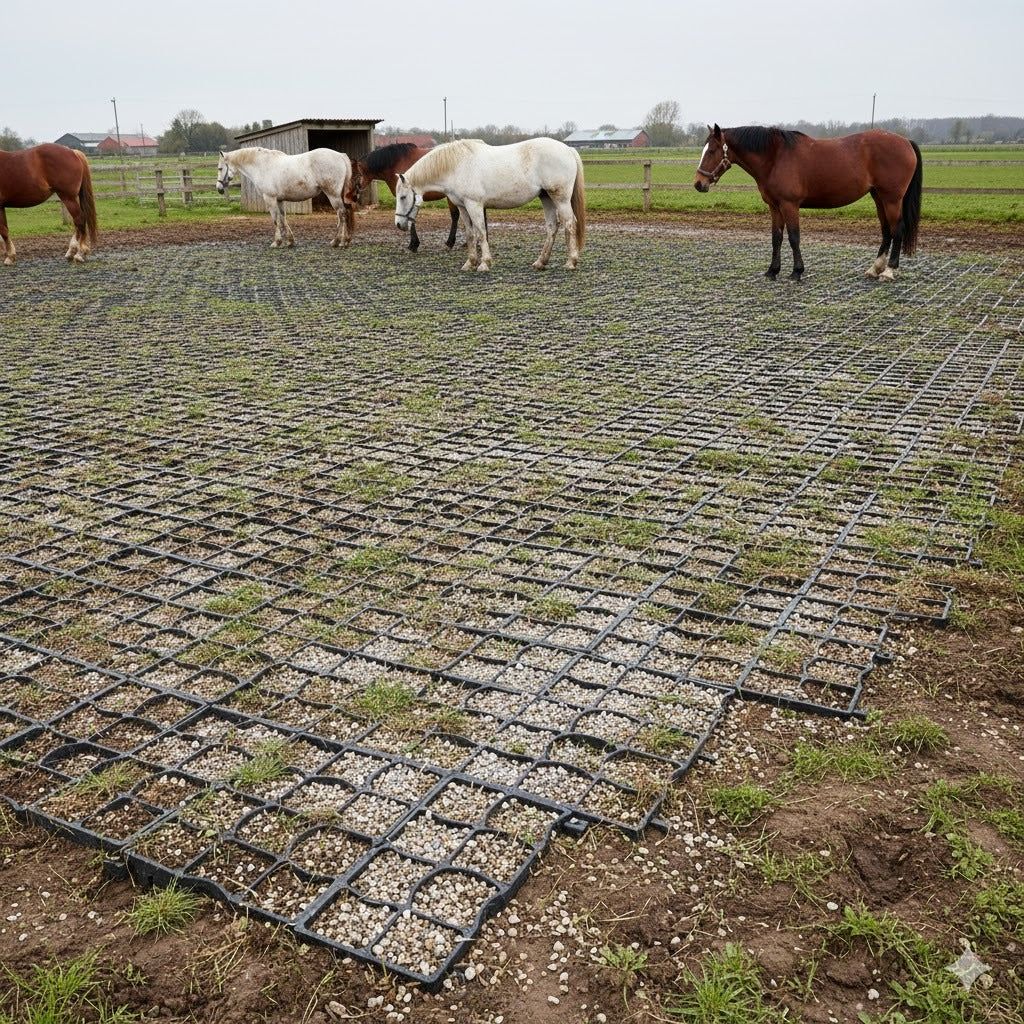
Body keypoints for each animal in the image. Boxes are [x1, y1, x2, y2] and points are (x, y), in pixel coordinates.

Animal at [216, 147, 355, 249]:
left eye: (220, 168)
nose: (219, 188)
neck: (261, 165)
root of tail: (340, 156)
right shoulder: (279, 200)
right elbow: (283, 218)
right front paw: (289, 241)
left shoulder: (270, 198)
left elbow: (275, 220)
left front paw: (277, 242)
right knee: (346, 213)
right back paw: (346, 240)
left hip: (333, 195)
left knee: (341, 214)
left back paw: (337, 241)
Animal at [394, 137, 586, 272]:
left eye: (402, 197)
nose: (399, 224)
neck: (456, 166)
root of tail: (568, 149)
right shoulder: (462, 207)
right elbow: (470, 234)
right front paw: (470, 263)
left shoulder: (474, 205)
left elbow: (480, 232)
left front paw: (484, 263)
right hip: (546, 198)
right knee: (552, 227)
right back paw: (541, 262)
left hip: (560, 198)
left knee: (570, 223)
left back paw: (571, 262)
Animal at [694, 124, 922, 281]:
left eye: (712, 151)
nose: (698, 183)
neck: (775, 158)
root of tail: (905, 141)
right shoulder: (774, 207)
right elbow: (776, 238)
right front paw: (772, 271)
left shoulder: (789, 205)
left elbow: (794, 237)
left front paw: (796, 272)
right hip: (878, 197)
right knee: (886, 231)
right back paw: (875, 269)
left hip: (892, 198)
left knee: (897, 229)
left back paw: (889, 271)